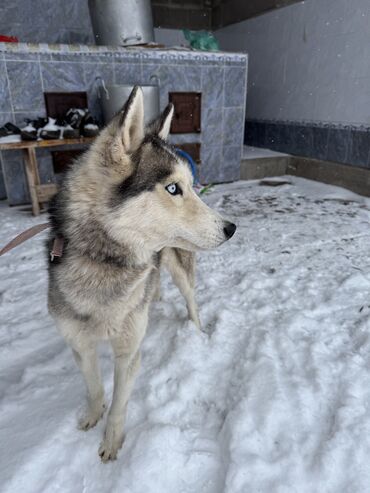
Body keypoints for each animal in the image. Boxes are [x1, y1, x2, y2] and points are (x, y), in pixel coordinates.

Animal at [47, 86, 237, 460]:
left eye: (189, 186)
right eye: (173, 188)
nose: (231, 228)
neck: (103, 263)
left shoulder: (128, 352)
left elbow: (120, 404)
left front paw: (111, 444)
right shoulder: (79, 344)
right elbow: (94, 387)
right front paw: (92, 415)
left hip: (181, 269)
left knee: (190, 299)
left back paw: (196, 331)